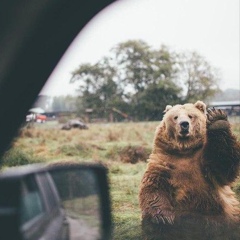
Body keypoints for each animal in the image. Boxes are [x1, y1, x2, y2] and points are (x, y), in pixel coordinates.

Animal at [139, 101, 240, 240]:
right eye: (175, 117)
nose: (184, 124)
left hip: (227, 216)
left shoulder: (204, 161)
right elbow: (154, 186)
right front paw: (163, 218)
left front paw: (217, 120)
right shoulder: (164, 161)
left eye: (190, 116)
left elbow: (223, 165)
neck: (185, 150)